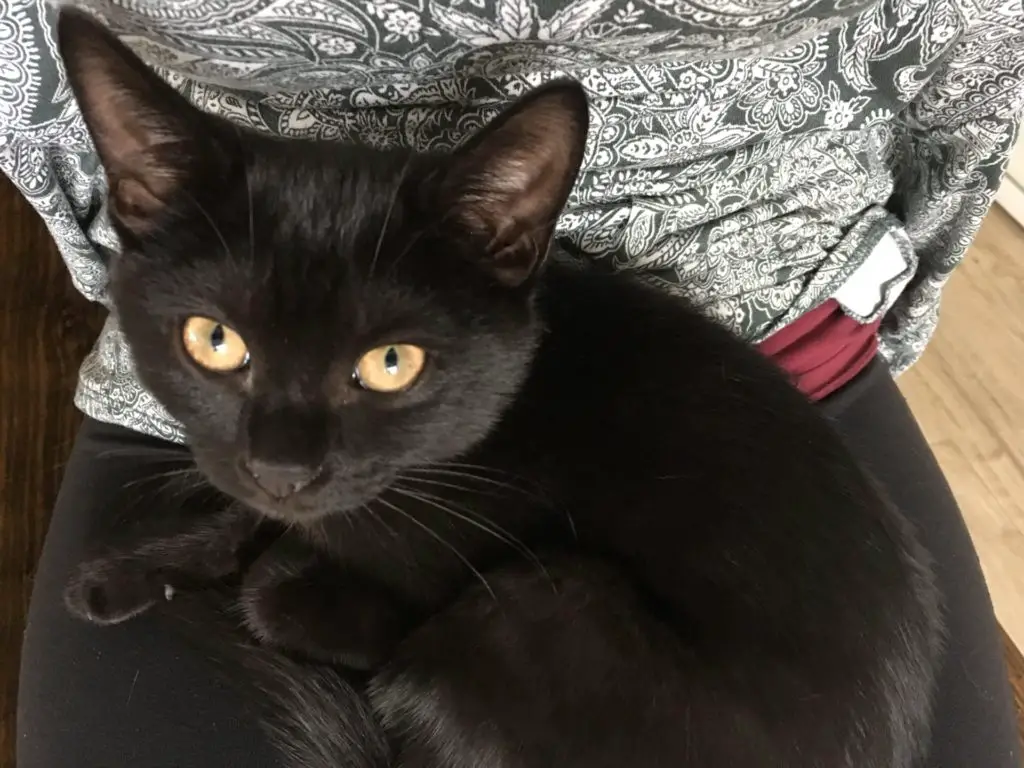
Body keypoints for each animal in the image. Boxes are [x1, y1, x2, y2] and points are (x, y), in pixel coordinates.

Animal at [59, 7, 942, 768]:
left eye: (391, 364)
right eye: (214, 341)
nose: (285, 468)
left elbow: (281, 592)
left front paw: (264, 577)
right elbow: (239, 506)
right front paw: (130, 569)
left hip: (554, 598)